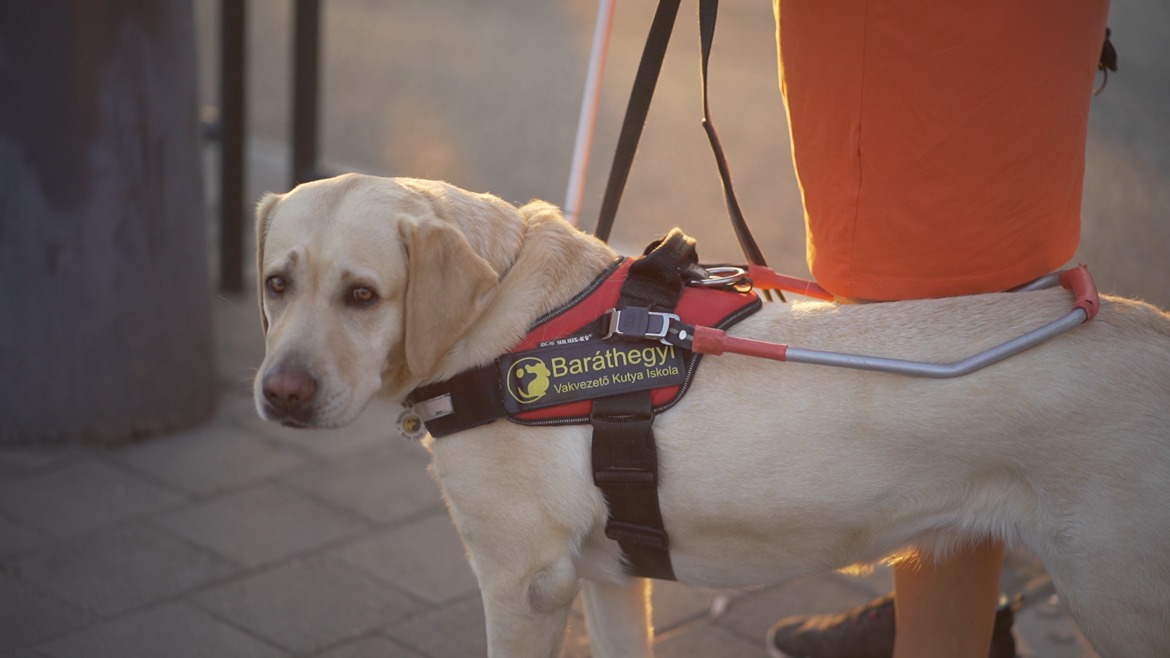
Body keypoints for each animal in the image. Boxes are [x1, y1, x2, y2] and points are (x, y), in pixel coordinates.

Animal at [251, 174, 1170, 655]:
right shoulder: (606, 579)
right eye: (275, 284)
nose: (279, 394)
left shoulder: (523, 585)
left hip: (1118, 598)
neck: (498, 320)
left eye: (363, 295)